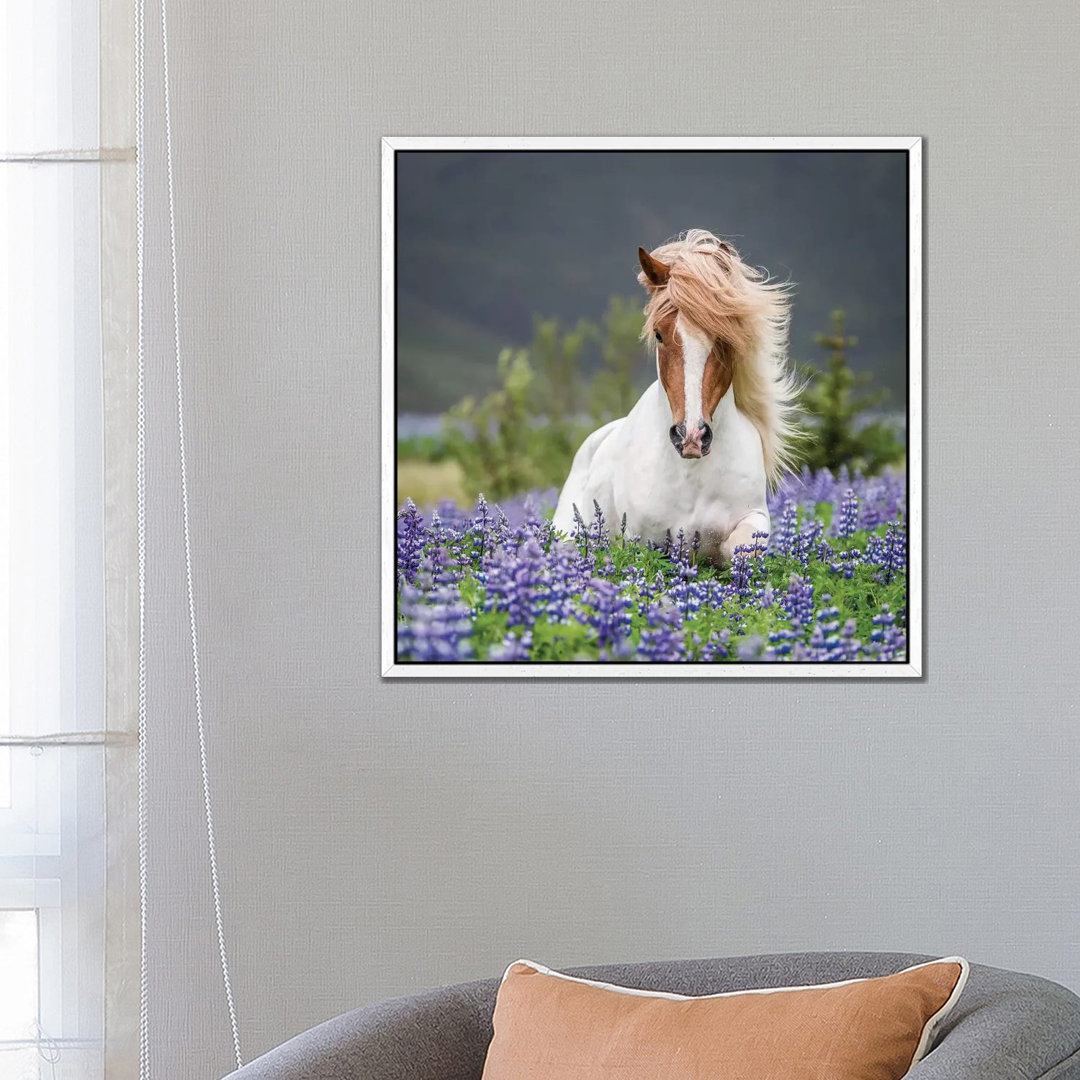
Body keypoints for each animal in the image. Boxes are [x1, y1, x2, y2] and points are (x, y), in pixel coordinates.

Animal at [552, 227, 799, 565]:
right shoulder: (644, 540)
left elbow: (743, 549)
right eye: (658, 333)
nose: (691, 436)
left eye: (725, 337)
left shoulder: (752, 518)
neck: (691, 474)